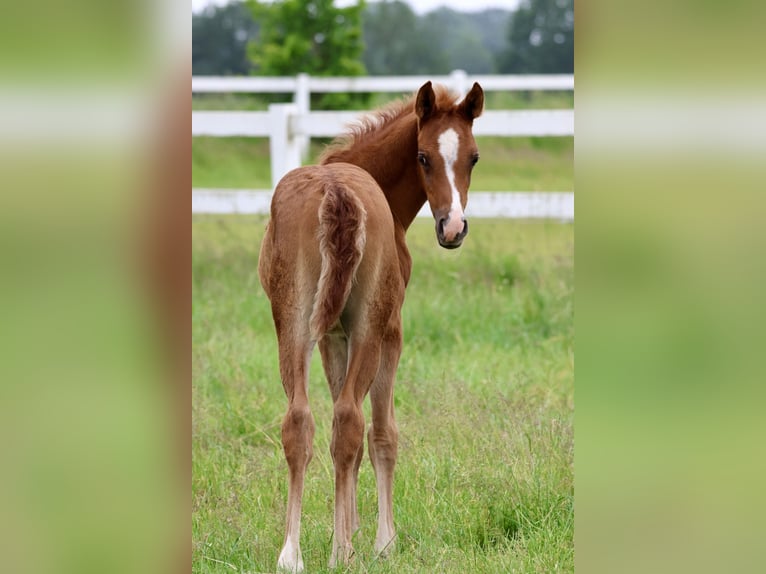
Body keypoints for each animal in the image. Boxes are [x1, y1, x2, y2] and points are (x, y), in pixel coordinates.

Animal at [258, 80, 486, 572]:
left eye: (474, 157)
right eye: (423, 156)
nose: (453, 228)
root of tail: (337, 192)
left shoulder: (331, 335)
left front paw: (349, 528)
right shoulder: (390, 330)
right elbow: (381, 433)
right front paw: (381, 540)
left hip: (293, 322)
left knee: (302, 421)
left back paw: (292, 554)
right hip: (368, 325)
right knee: (350, 420)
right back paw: (341, 553)